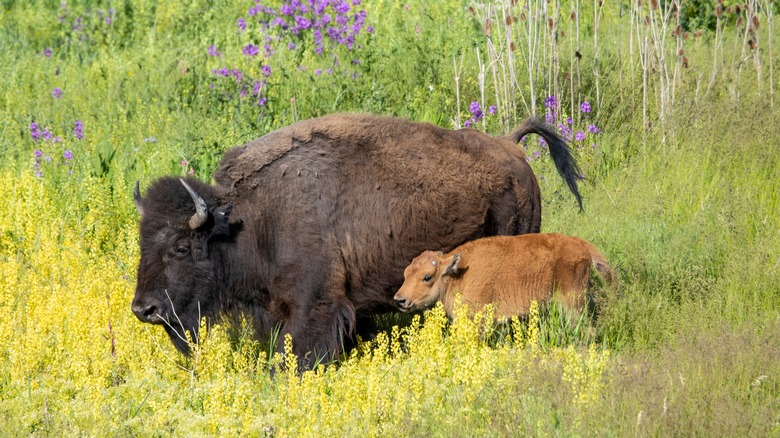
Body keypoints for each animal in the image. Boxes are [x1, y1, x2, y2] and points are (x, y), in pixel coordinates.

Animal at [131, 113, 582, 368]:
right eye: (142, 243)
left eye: (182, 247)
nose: (143, 308)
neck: (248, 219)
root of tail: (510, 147)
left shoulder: (316, 304)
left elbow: (297, 351)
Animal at [393, 233, 613, 319]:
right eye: (405, 273)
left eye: (427, 277)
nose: (400, 300)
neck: (458, 273)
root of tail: (580, 244)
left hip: (571, 303)